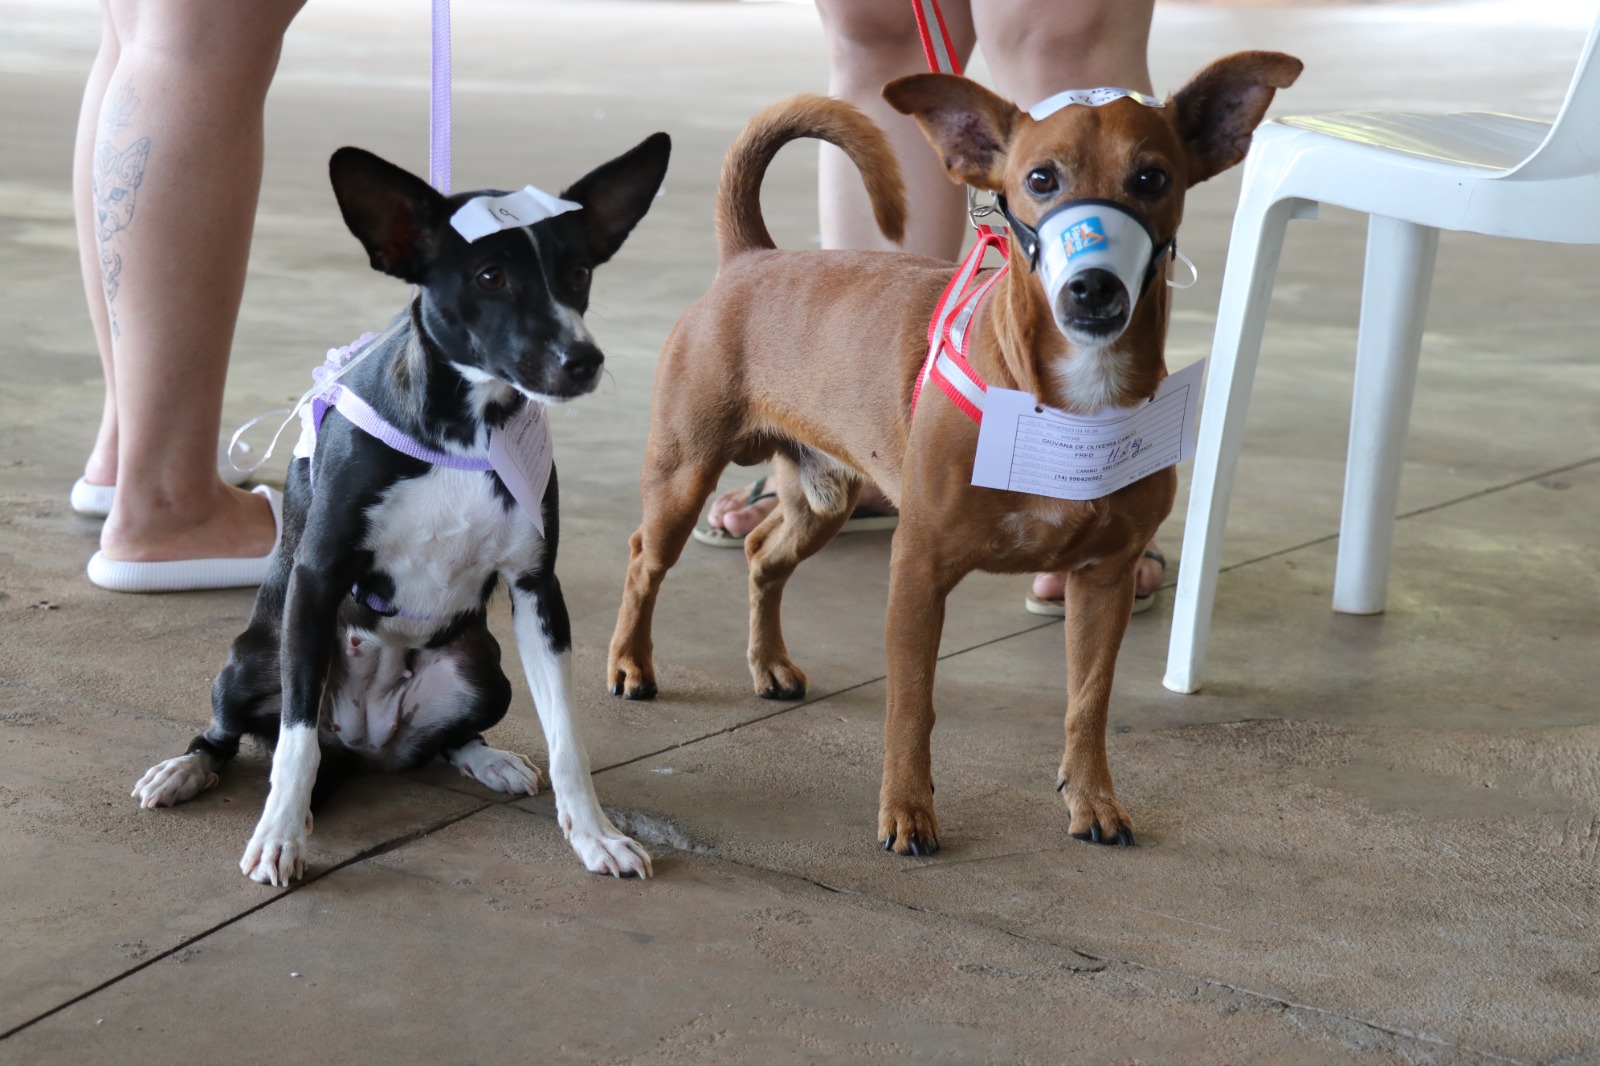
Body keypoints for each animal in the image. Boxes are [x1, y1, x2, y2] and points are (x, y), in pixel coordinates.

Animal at [129, 132, 668, 877]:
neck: (466, 431)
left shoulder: (538, 589)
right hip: (252, 660)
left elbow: (567, 737)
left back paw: (487, 759)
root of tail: (367, 743)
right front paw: (279, 834)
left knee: (449, 738)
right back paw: (184, 771)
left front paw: (595, 834)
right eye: (490, 277)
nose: (583, 359)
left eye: (580, 272)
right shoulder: (317, 578)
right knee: (232, 734)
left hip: (485, 672)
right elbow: (294, 741)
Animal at [608, 56, 1299, 857]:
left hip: (822, 499)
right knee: (644, 560)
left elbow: (1087, 703)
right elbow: (912, 706)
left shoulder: (1105, 580)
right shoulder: (919, 571)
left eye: (1152, 178)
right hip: (682, 478)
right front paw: (907, 812)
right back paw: (630, 662)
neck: (1070, 403)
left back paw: (769, 663)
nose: (1093, 286)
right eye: (1039, 179)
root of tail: (752, 256)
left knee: (762, 555)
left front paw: (1092, 799)